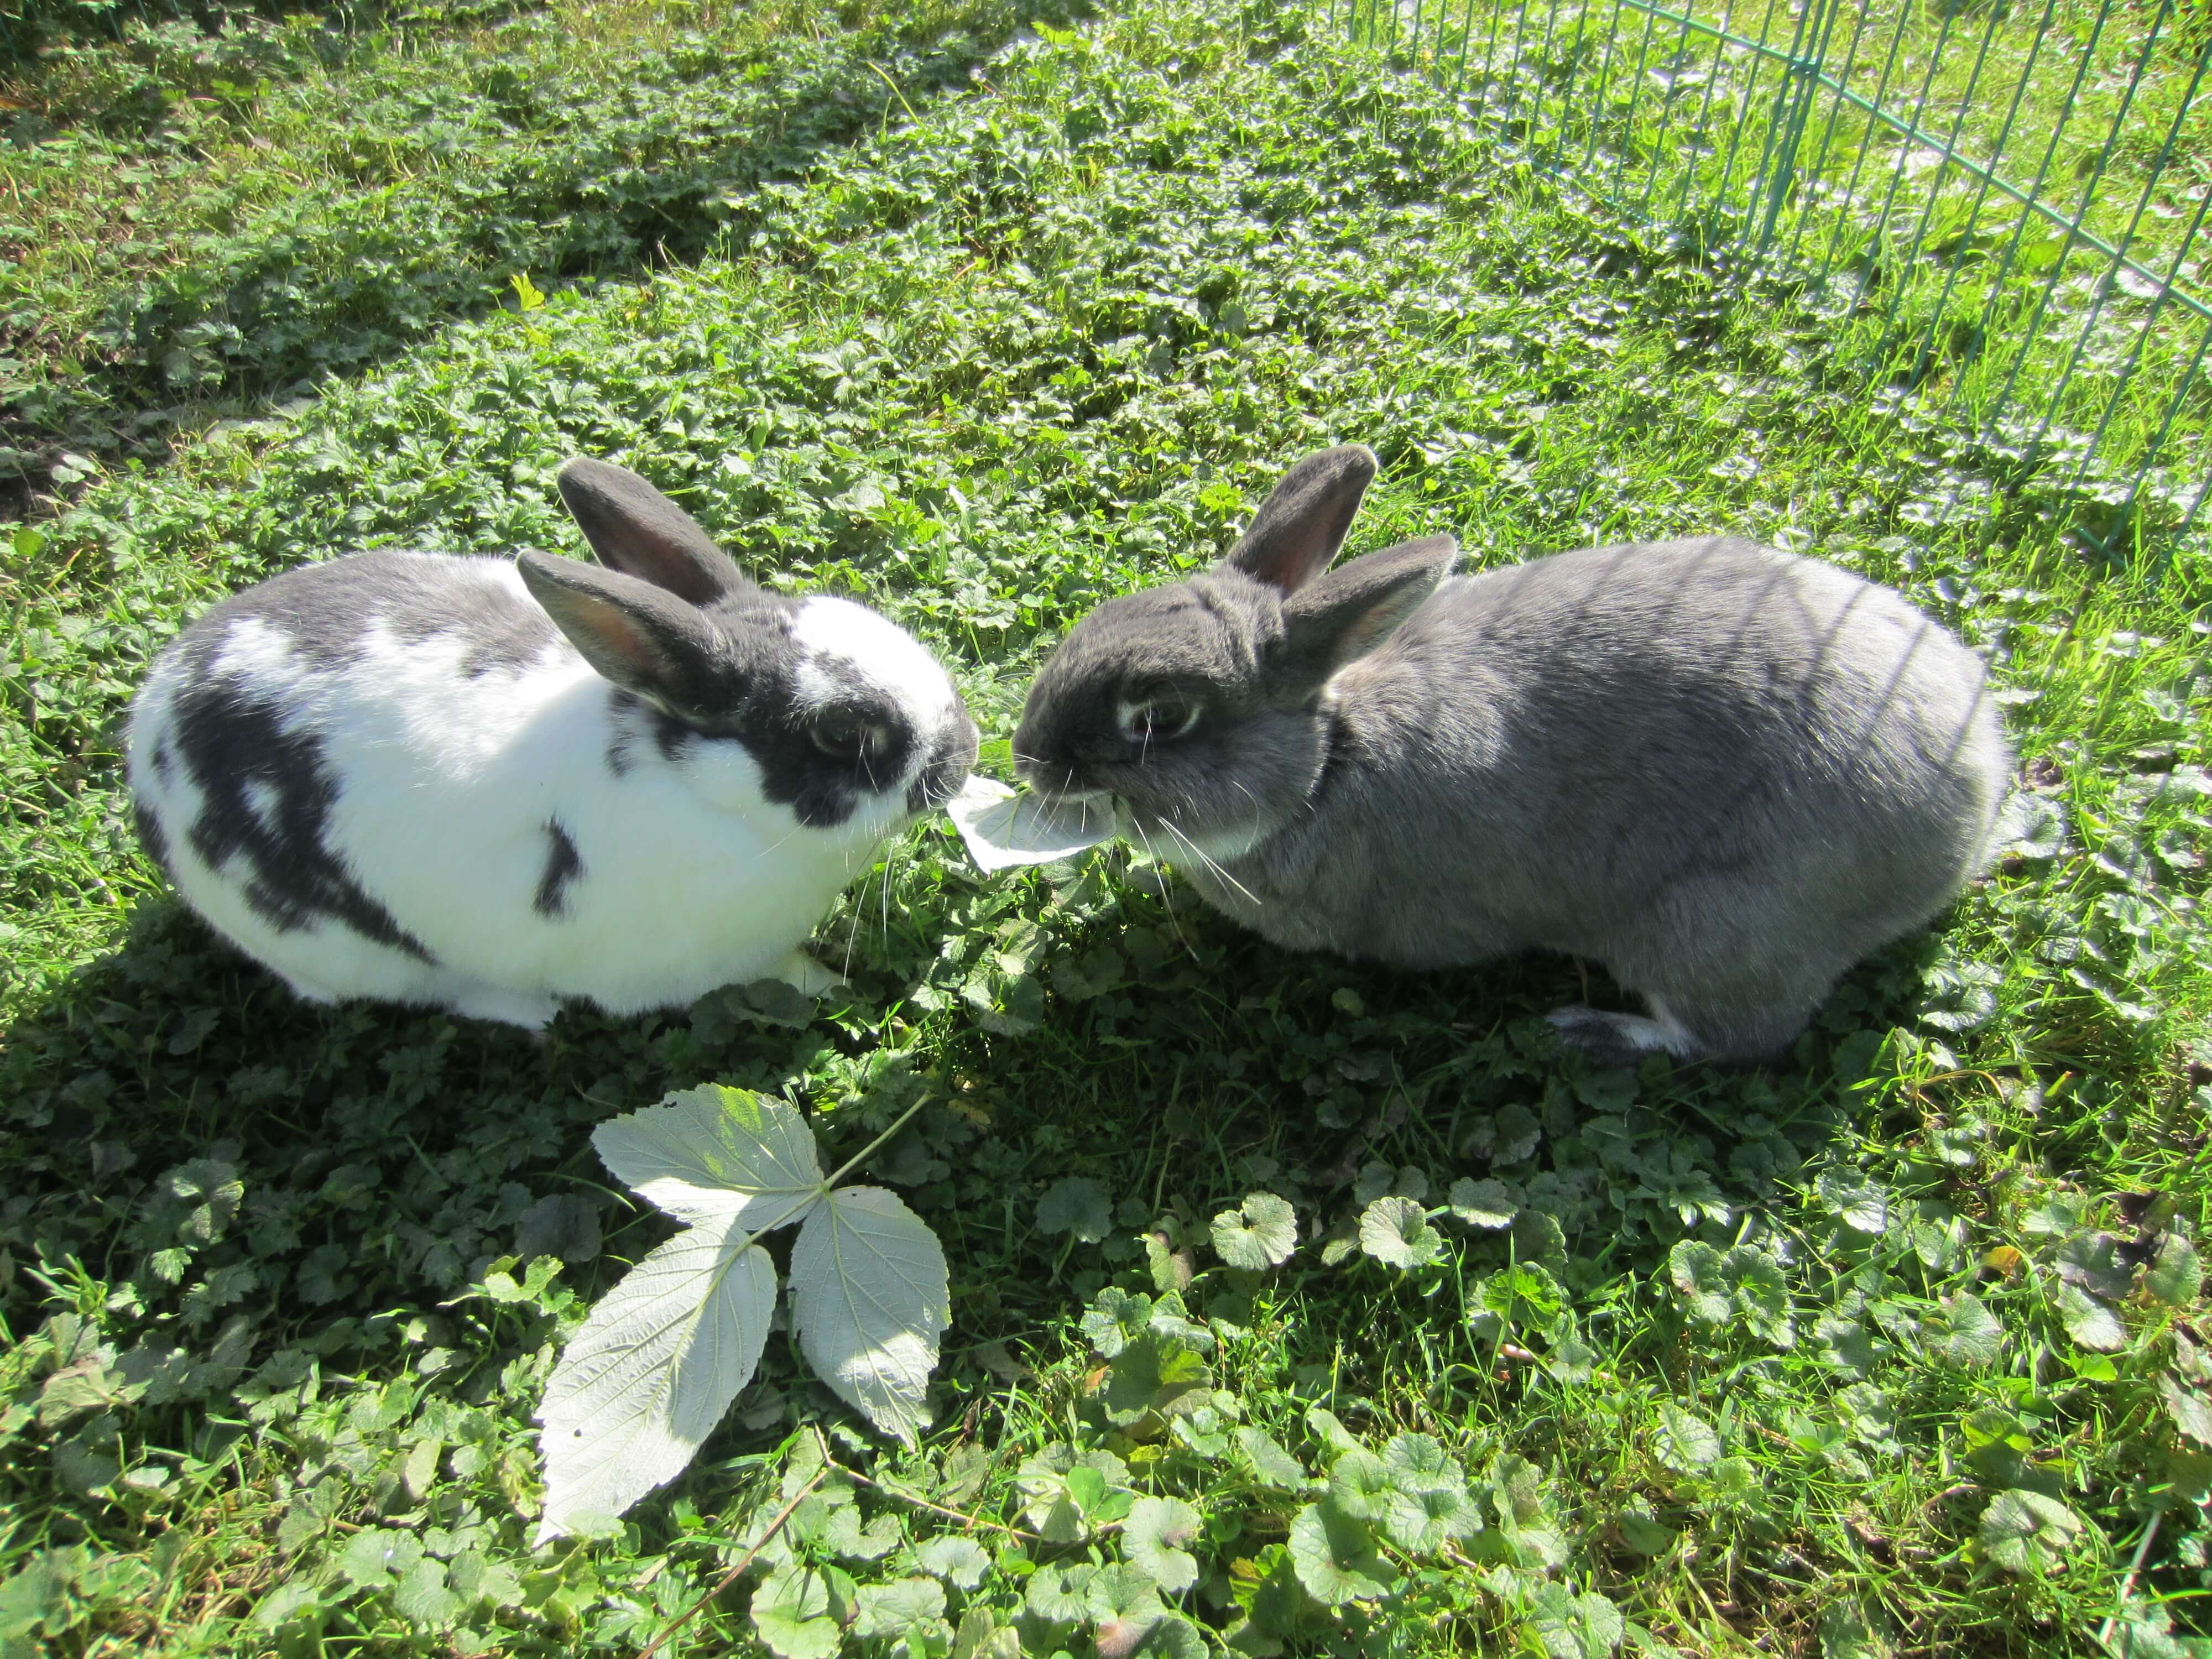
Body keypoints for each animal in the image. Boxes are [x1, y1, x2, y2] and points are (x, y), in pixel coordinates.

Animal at [127, 458, 979, 1031]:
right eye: (840, 734)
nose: (964, 751)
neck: (702, 790)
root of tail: (149, 737)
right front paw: (829, 987)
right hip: (343, 950)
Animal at [1012, 445, 2011, 1065]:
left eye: (1163, 718)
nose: (1027, 758)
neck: (1326, 764)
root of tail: (1974, 800)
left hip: (1712, 930)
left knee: (1738, 1038)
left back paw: (1590, 1032)